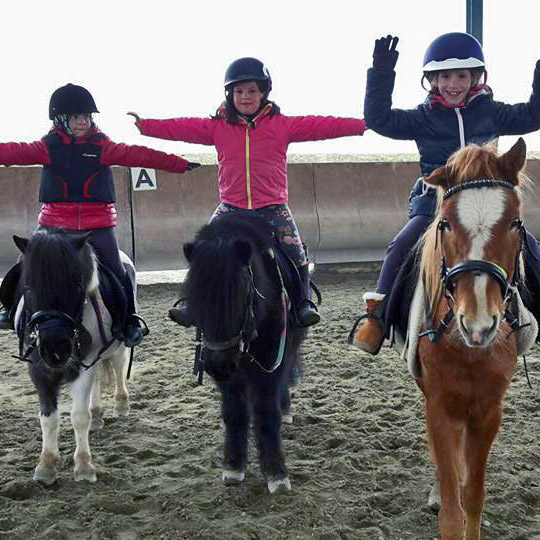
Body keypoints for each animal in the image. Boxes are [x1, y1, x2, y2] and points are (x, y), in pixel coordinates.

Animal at [12, 228, 131, 486]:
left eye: (77, 284)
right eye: (28, 286)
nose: (56, 350)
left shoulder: (82, 368)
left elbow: (78, 416)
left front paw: (84, 466)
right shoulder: (39, 370)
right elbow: (48, 418)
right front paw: (46, 465)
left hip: (117, 348)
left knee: (118, 368)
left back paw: (121, 404)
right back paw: (97, 415)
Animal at [182, 212, 306, 494]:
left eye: (240, 296)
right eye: (195, 299)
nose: (219, 364)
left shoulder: (272, 361)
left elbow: (266, 411)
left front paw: (276, 473)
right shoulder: (228, 375)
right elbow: (234, 411)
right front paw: (233, 465)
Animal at [412, 137, 532, 536]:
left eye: (514, 223)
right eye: (445, 223)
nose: (478, 324)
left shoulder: (488, 412)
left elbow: (474, 497)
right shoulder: (439, 408)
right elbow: (452, 511)